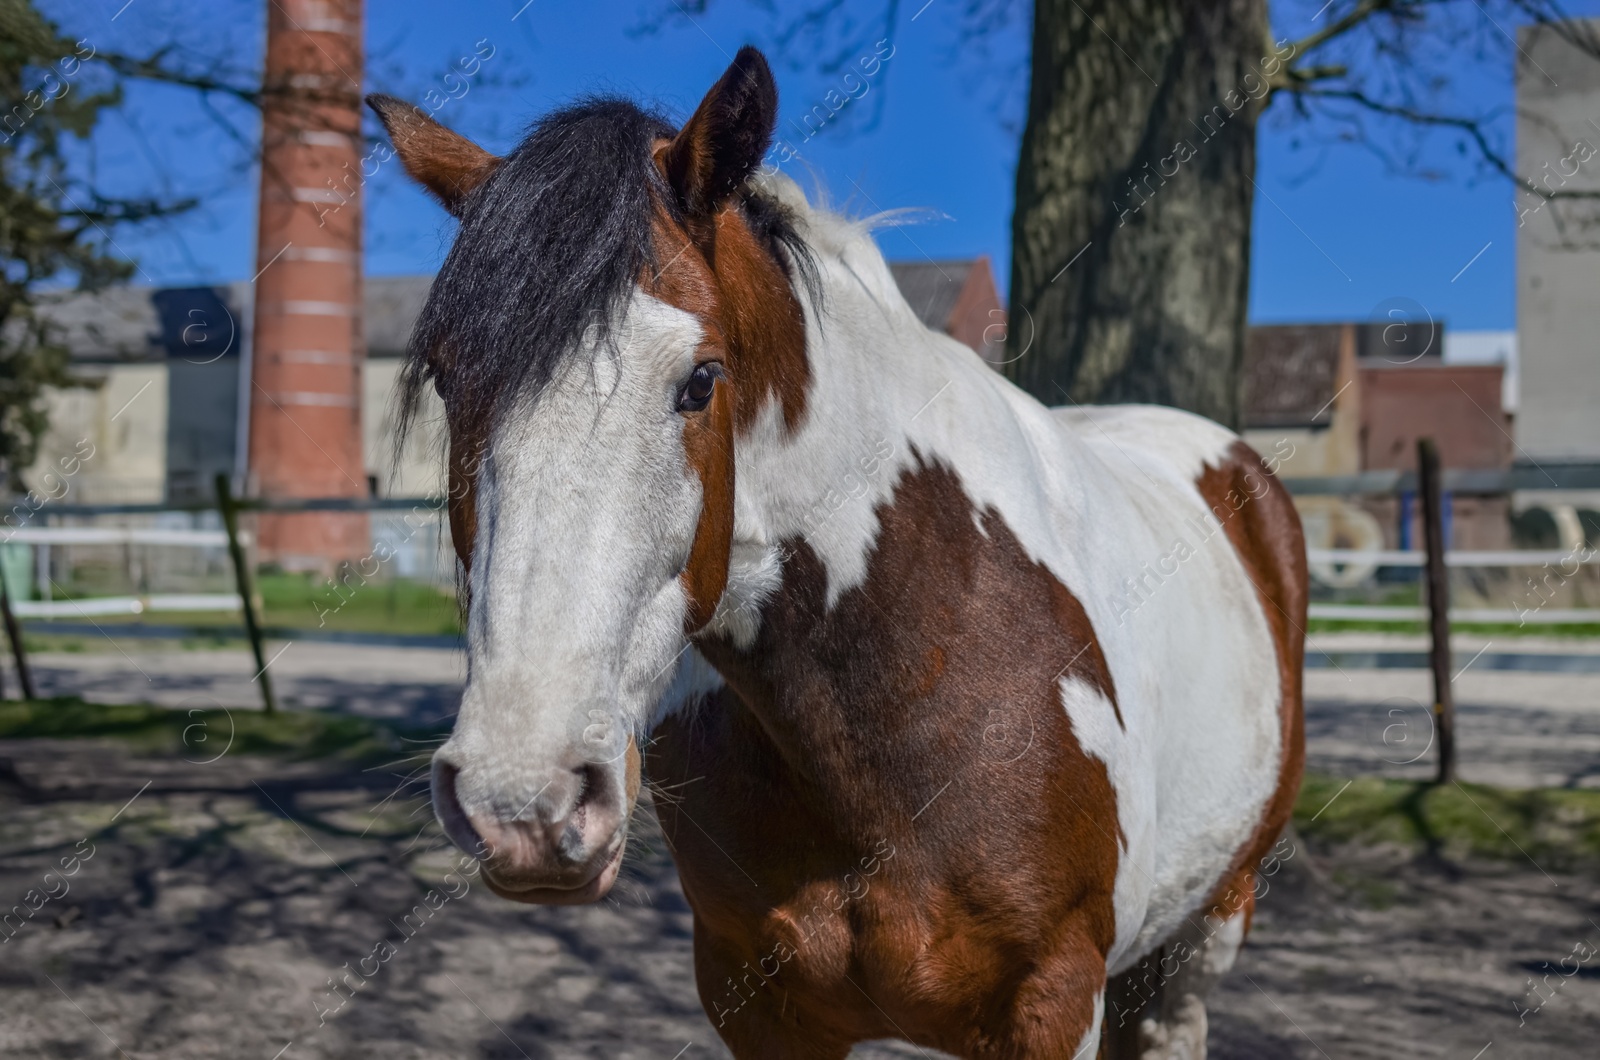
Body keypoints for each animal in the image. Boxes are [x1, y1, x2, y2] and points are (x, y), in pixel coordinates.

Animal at [368, 43, 1305, 1060]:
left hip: (1210, 921)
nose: (522, 799)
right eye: (450, 379)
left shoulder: (1054, 999)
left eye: (700, 380)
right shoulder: (757, 1000)